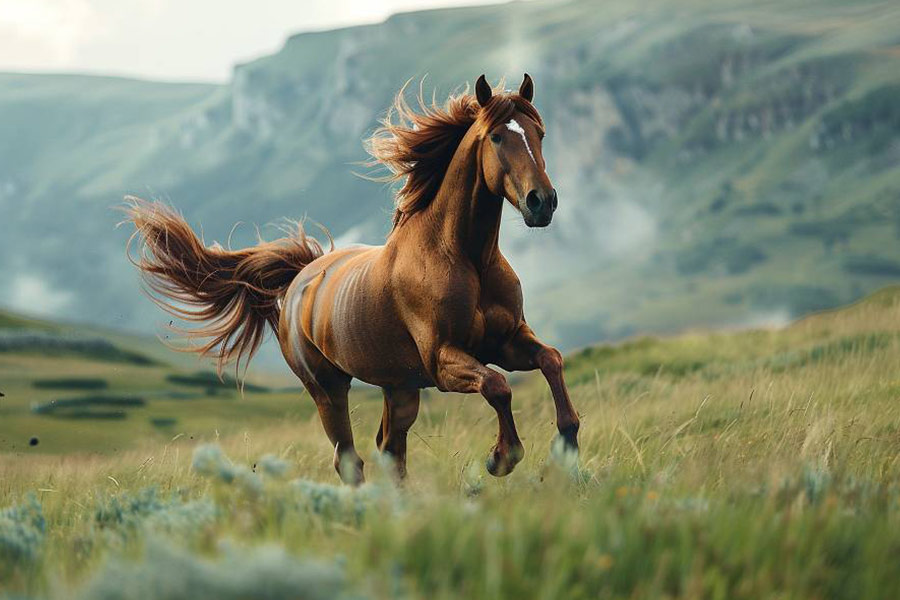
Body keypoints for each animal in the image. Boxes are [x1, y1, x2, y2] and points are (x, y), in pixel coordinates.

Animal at [127, 74, 580, 484]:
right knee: (350, 459)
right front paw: (502, 457)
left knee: (390, 451)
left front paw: (567, 444)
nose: (542, 202)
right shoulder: (443, 360)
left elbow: (551, 360)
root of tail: (300, 278)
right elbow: (497, 386)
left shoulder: (507, 341)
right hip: (328, 388)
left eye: (540, 133)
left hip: (399, 386)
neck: (467, 259)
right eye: (497, 138)